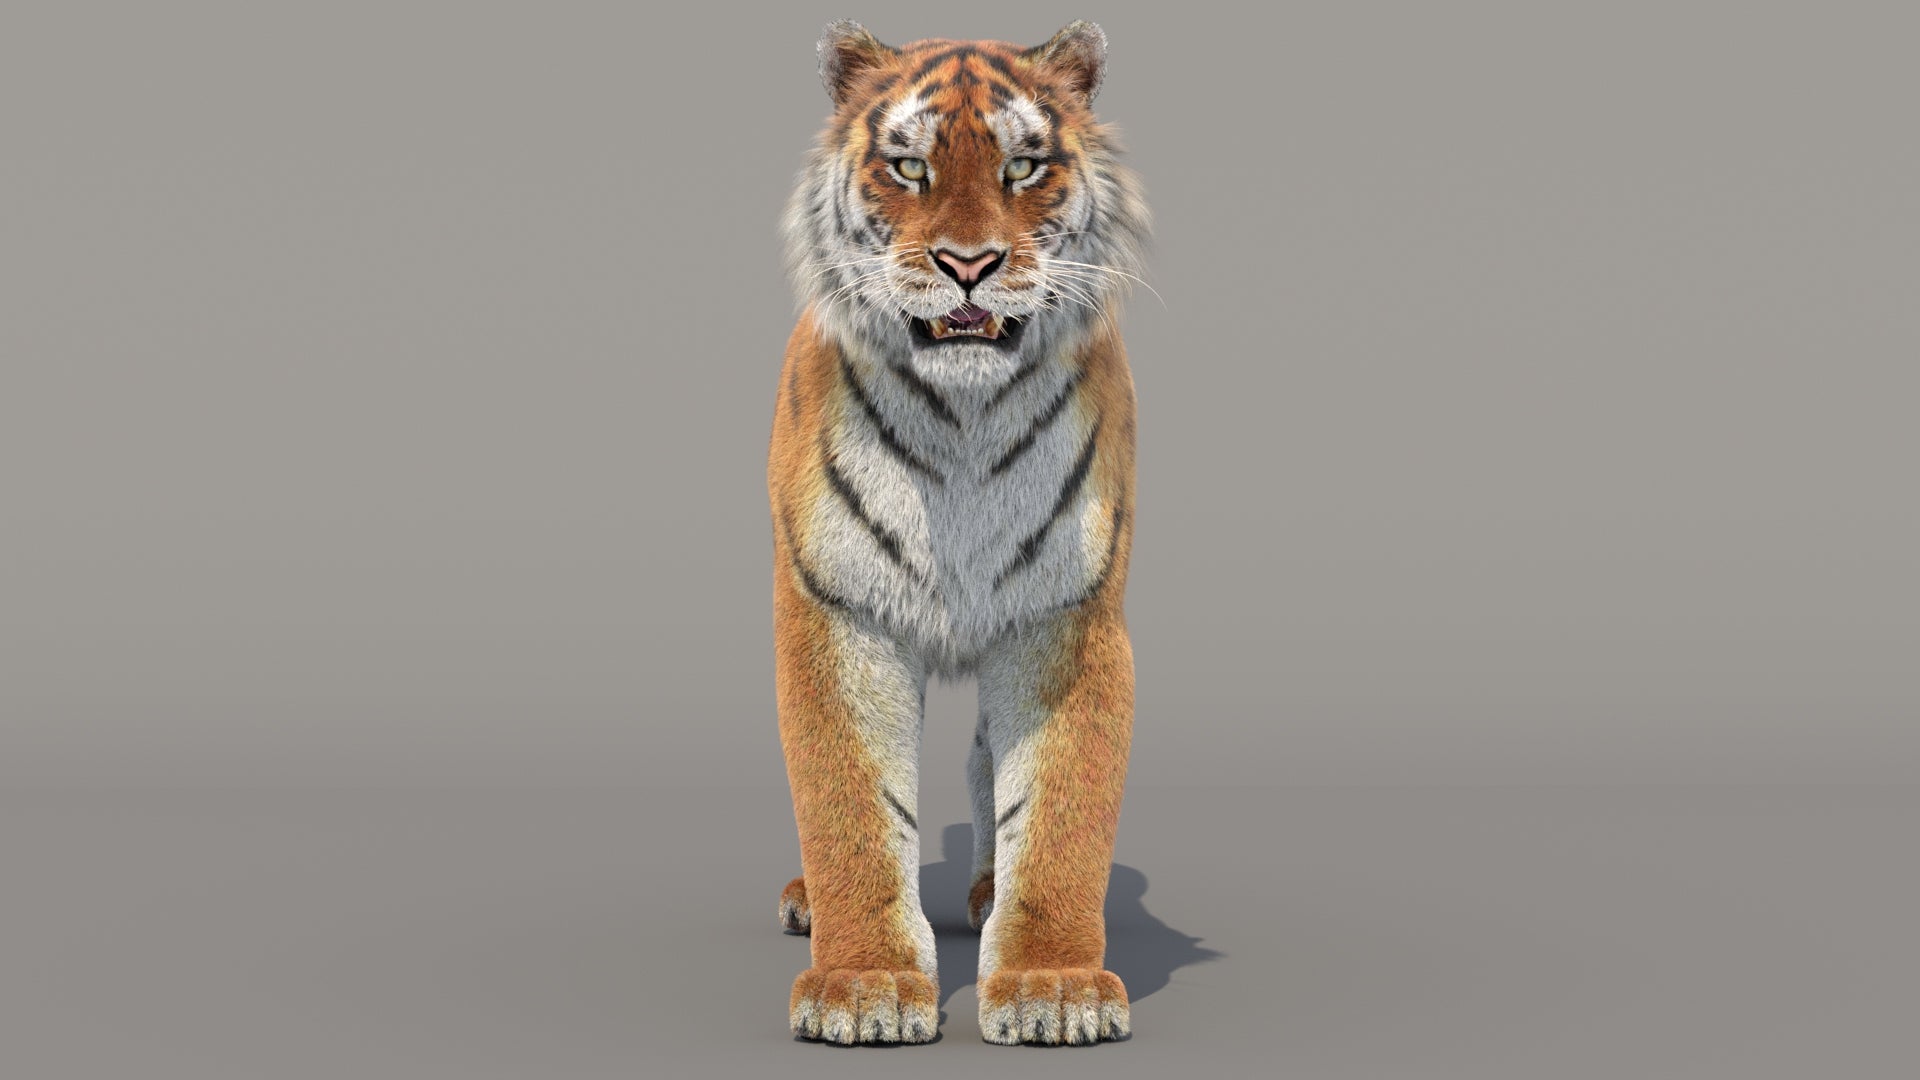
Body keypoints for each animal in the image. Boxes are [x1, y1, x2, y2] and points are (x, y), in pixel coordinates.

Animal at [767, 20, 1150, 1046]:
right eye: (909, 165)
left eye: (1023, 167)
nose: (969, 265)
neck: (963, 425)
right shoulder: (837, 613)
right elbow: (851, 806)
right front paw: (861, 987)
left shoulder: (1067, 619)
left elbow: (1055, 812)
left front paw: (1052, 984)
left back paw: (984, 894)